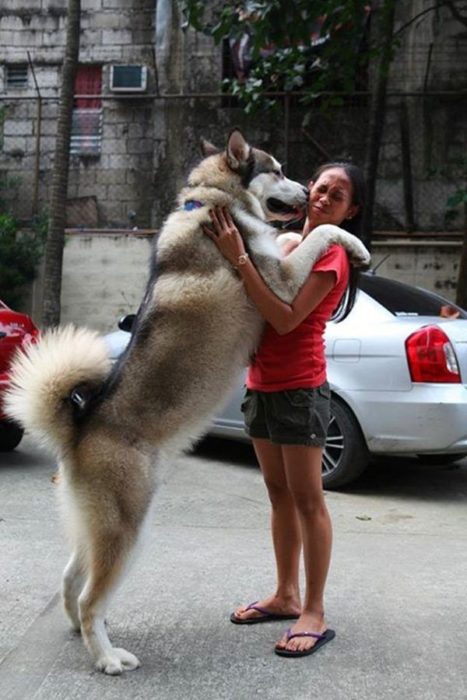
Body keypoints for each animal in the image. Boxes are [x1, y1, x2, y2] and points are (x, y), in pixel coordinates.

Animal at [3, 130, 370, 672]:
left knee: (70, 580)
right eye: (279, 170)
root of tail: (79, 428)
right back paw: (107, 657)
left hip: (102, 527)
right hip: (129, 530)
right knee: (91, 596)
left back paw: (81, 633)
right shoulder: (282, 285)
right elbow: (318, 237)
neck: (215, 202)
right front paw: (355, 243)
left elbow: (307, 236)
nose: (308, 191)